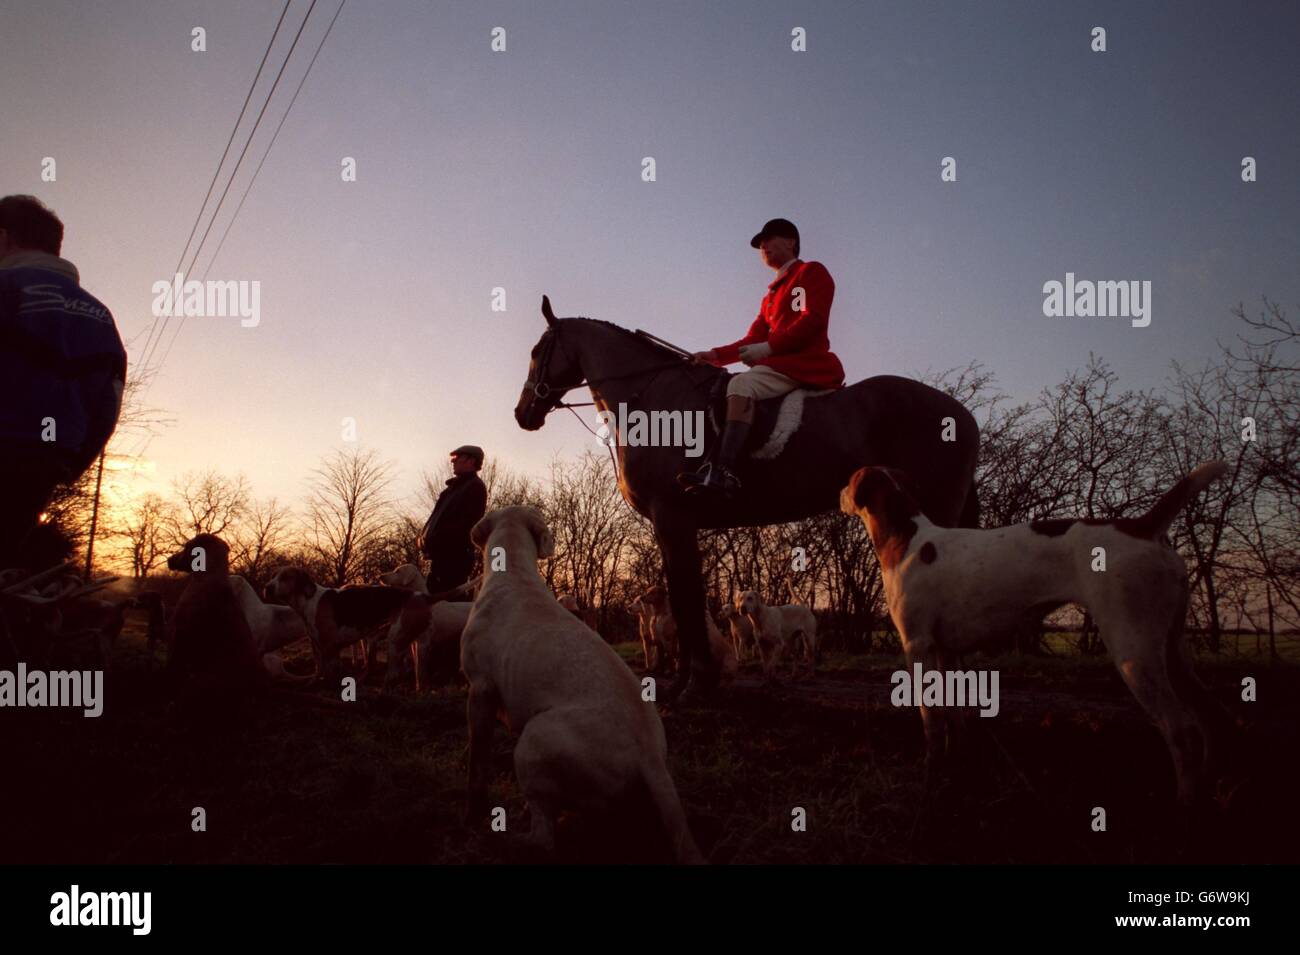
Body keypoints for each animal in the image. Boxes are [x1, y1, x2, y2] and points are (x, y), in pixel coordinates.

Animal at [512, 294, 977, 696]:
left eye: (537, 351)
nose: (522, 413)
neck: (654, 399)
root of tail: (961, 413)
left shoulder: (672, 518)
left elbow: (686, 601)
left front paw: (695, 685)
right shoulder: (674, 525)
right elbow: (683, 598)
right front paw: (688, 682)